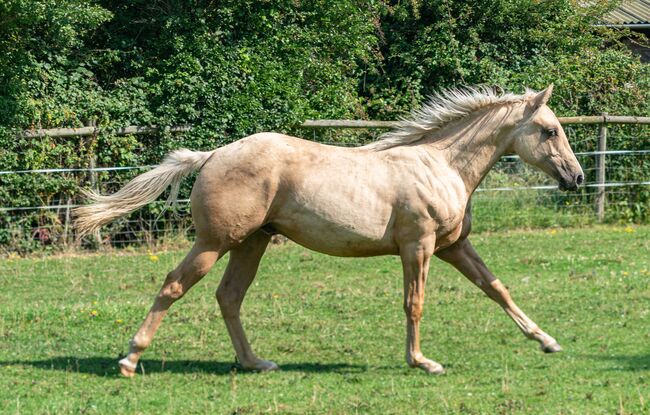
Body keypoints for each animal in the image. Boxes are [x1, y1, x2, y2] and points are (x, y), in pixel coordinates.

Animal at [74, 85, 584, 376]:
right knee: (174, 286)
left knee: (229, 297)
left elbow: (497, 288)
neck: (442, 166)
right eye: (549, 130)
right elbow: (414, 303)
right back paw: (130, 360)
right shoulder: (417, 247)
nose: (576, 178)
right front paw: (423, 362)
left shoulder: (454, 246)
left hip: (252, 243)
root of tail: (212, 155)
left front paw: (546, 341)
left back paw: (255, 363)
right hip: (214, 242)